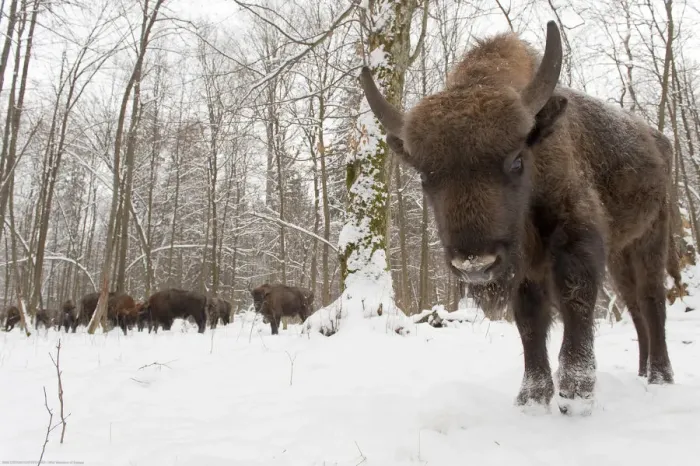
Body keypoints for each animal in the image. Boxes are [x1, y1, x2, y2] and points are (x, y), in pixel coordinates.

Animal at [360, 22, 679, 414]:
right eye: (424, 175)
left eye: (515, 160)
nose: (474, 264)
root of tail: (659, 141)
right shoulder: (525, 267)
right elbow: (529, 320)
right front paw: (533, 396)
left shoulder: (575, 237)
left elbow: (576, 298)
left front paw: (575, 392)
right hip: (622, 254)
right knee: (634, 306)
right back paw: (642, 371)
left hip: (652, 235)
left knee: (651, 301)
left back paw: (660, 377)